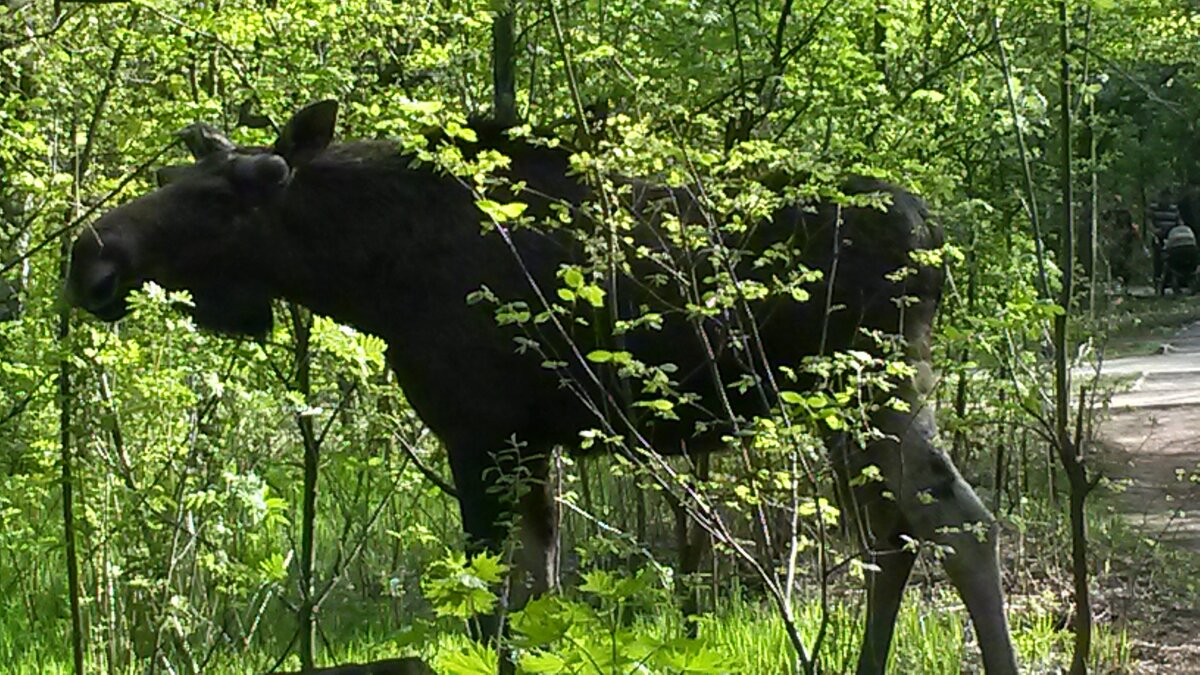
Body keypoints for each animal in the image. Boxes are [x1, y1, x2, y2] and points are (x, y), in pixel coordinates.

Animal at [65, 100, 1017, 672]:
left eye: (230, 193)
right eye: (177, 176)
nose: (90, 257)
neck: (363, 274)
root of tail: (940, 237)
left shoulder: (479, 431)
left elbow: (491, 610)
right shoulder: (529, 440)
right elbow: (537, 599)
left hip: (877, 384)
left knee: (959, 520)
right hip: (840, 403)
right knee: (892, 538)